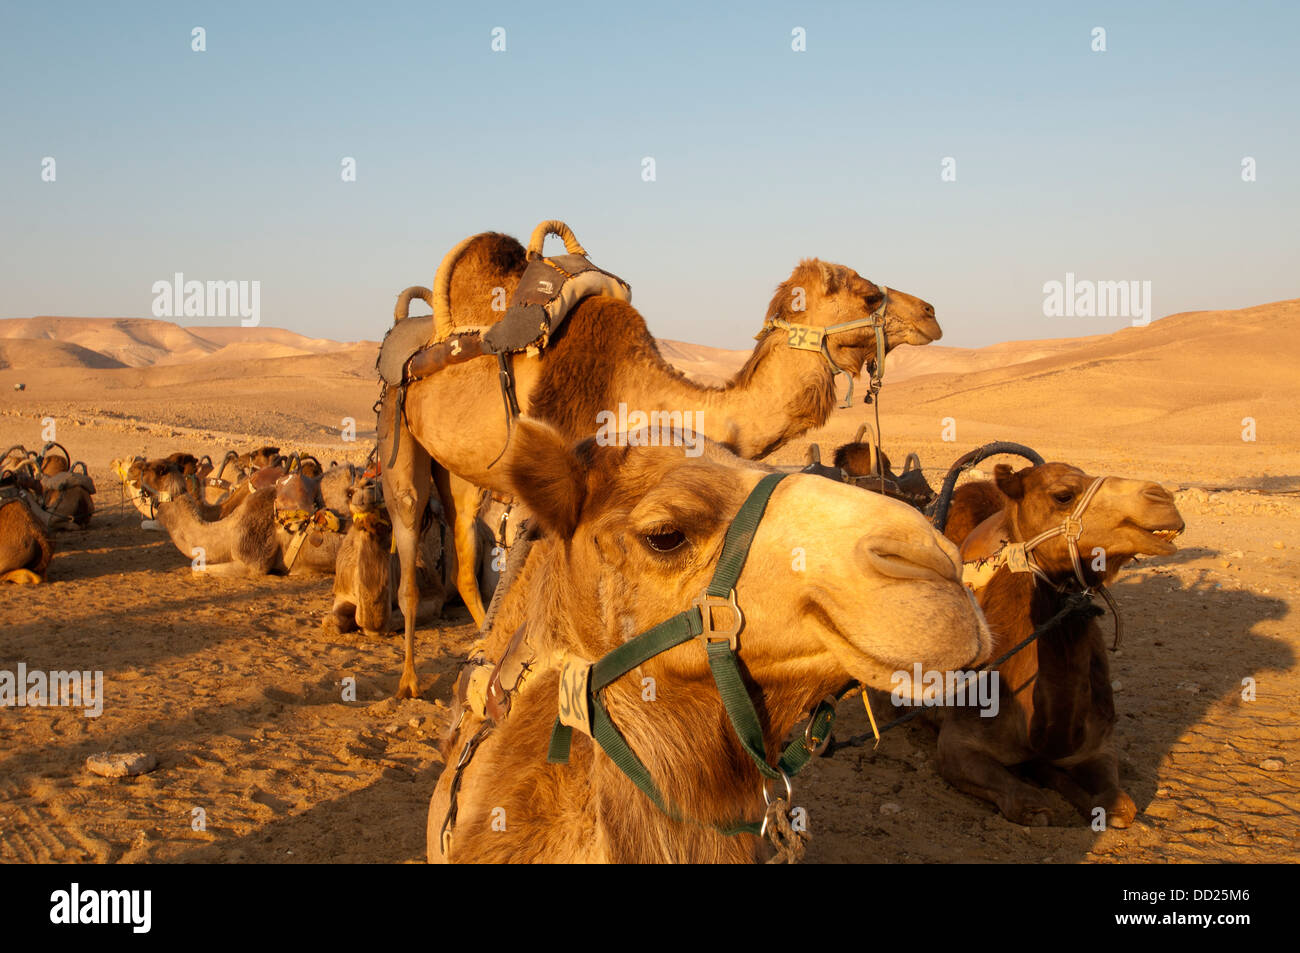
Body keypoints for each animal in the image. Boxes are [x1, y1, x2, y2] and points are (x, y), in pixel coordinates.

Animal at [381, 227, 944, 696]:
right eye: (869, 295)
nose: (931, 313)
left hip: (461, 472)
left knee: (462, 551)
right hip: (398, 429)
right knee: (408, 532)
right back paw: (409, 683)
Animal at [933, 462, 1184, 827]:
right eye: (1063, 495)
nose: (1162, 498)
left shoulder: (1097, 745)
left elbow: (1120, 806)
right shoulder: (958, 741)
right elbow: (1029, 803)